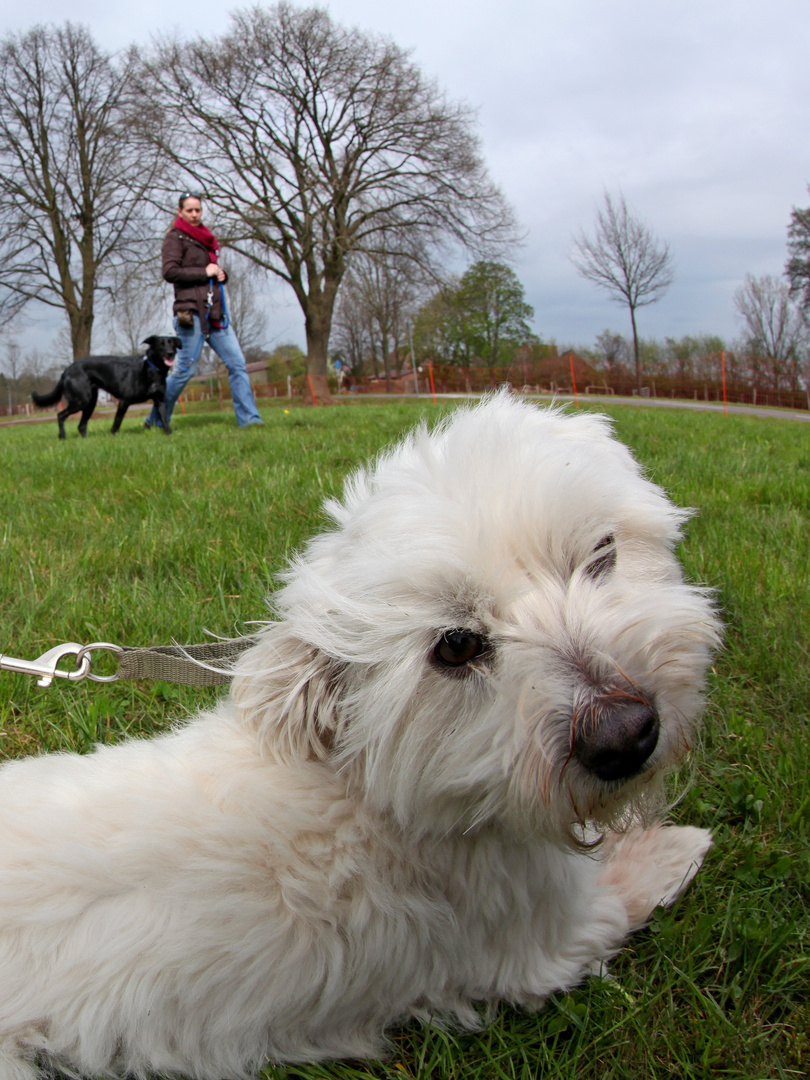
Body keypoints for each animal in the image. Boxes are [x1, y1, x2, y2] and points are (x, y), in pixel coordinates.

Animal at [0, 397, 721, 1080]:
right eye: (455, 647)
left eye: (602, 552)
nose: (626, 737)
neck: (373, 790)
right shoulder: (547, 938)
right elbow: (626, 888)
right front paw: (675, 850)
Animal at [31, 336, 180, 438]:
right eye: (161, 344)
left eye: (172, 343)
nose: (170, 353)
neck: (152, 368)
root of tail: (66, 371)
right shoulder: (124, 401)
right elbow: (117, 422)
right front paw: (113, 435)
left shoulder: (160, 401)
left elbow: (165, 419)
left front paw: (169, 435)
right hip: (81, 401)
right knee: (60, 415)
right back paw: (62, 437)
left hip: (90, 403)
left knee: (81, 425)